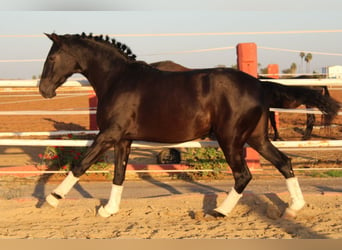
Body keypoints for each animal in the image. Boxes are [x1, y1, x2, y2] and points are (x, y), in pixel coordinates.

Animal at [38, 33, 338, 219]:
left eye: (51, 58)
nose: (43, 90)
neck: (118, 79)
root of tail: (259, 85)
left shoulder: (108, 135)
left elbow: (81, 164)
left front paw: (51, 199)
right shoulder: (123, 139)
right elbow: (119, 174)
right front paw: (108, 210)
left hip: (231, 140)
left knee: (243, 175)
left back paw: (219, 212)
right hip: (257, 139)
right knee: (284, 162)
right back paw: (293, 208)